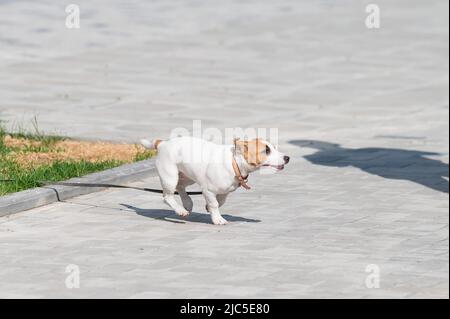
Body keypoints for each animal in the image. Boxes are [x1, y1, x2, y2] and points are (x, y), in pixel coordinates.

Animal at [139, 137, 290, 225]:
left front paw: (208, 208)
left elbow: (221, 201)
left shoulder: (225, 191)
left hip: (187, 176)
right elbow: (215, 204)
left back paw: (187, 203)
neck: (234, 162)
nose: (287, 158)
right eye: (266, 151)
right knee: (167, 196)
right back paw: (180, 210)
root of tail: (163, 144)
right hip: (170, 176)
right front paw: (217, 219)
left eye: (274, 147)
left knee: (180, 186)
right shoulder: (208, 190)